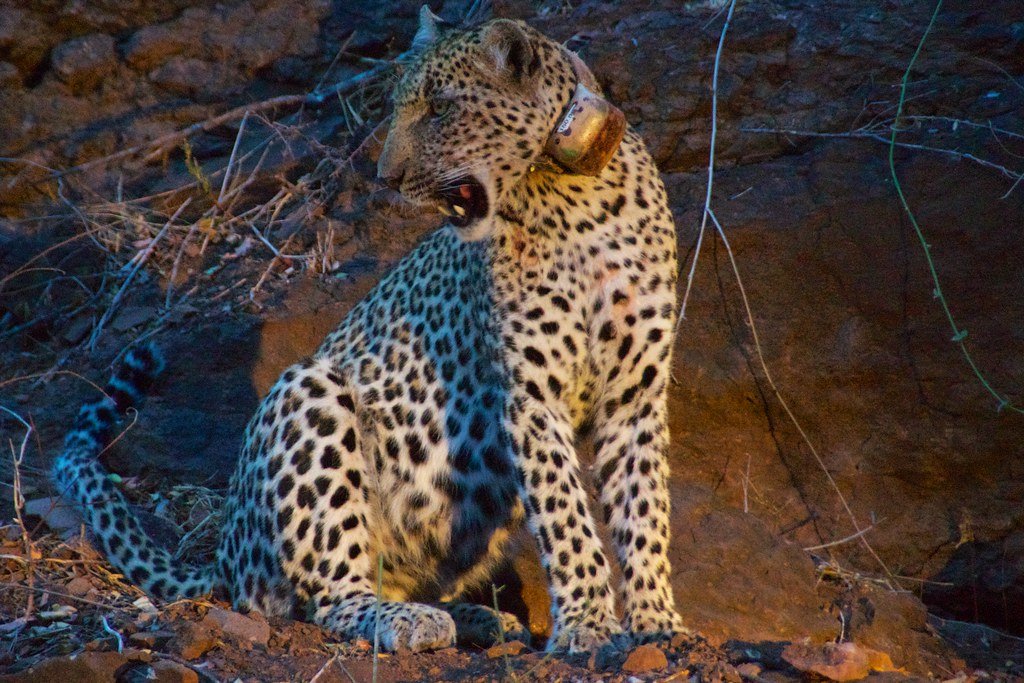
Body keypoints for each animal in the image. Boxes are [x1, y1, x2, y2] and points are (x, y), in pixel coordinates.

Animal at [52, 7, 687, 654]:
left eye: (440, 109)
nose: (388, 176)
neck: (574, 198)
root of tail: (225, 554)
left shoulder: (635, 393)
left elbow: (642, 507)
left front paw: (657, 622)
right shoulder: (531, 395)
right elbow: (565, 514)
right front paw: (588, 625)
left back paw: (476, 618)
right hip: (311, 392)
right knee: (328, 594)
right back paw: (409, 621)